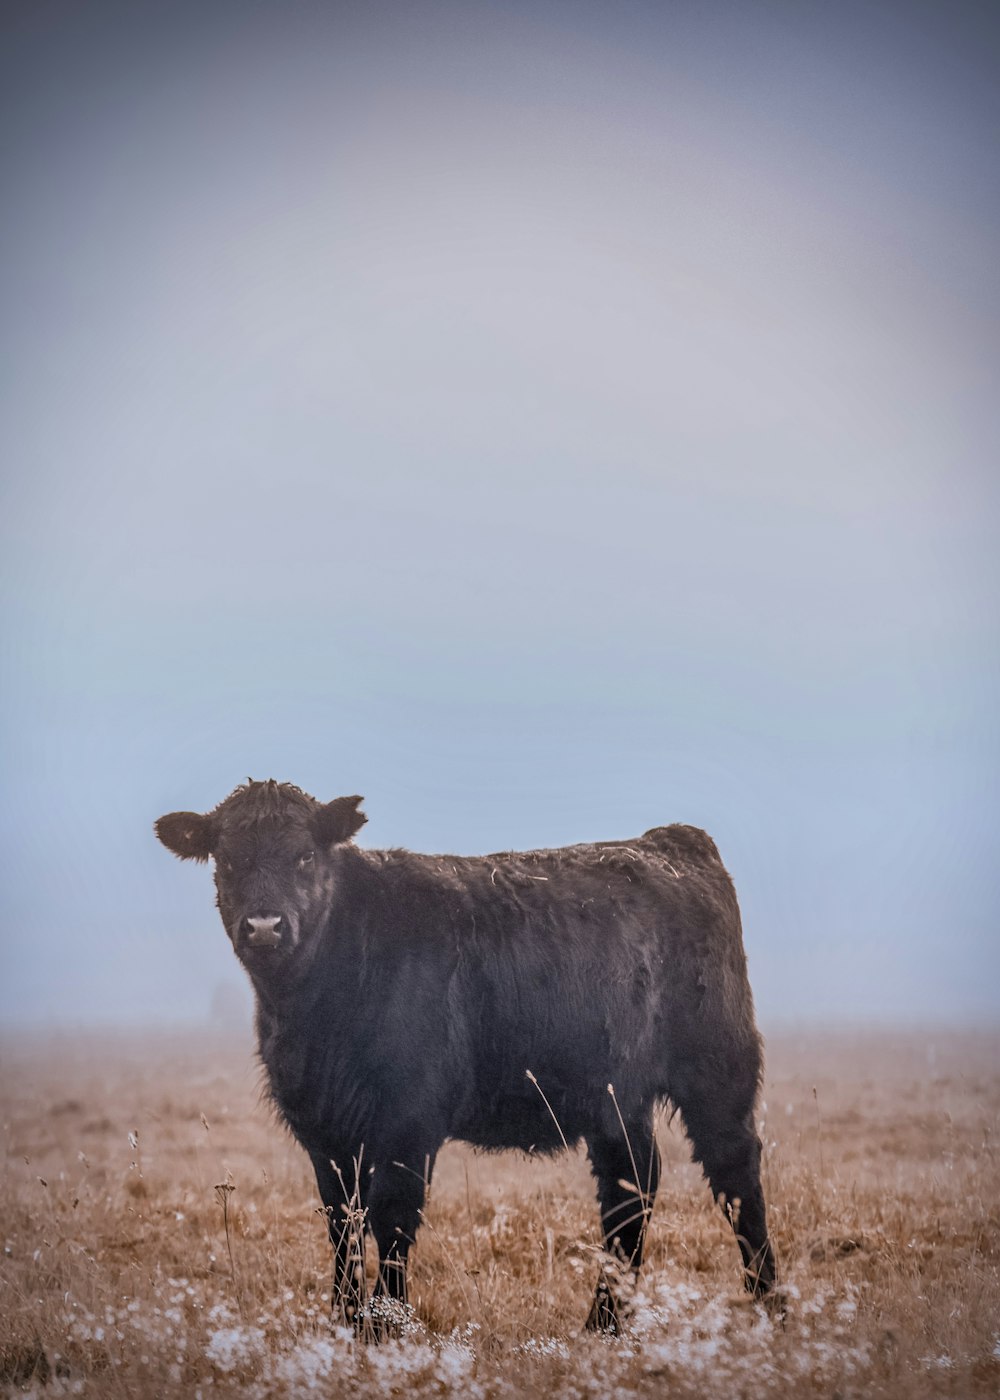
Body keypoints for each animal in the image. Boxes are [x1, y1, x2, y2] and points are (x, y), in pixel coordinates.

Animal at [155, 778, 773, 1332]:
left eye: (304, 854)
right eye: (228, 859)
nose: (264, 926)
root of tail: (669, 841)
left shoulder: (407, 1119)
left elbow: (392, 1218)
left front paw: (384, 1326)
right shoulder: (324, 1131)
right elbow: (341, 1223)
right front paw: (342, 1321)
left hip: (718, 1069)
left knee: (733, 1172)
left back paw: (769, 1303)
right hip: (616, 1096)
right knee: (631, 1185)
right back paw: (604, 1323)